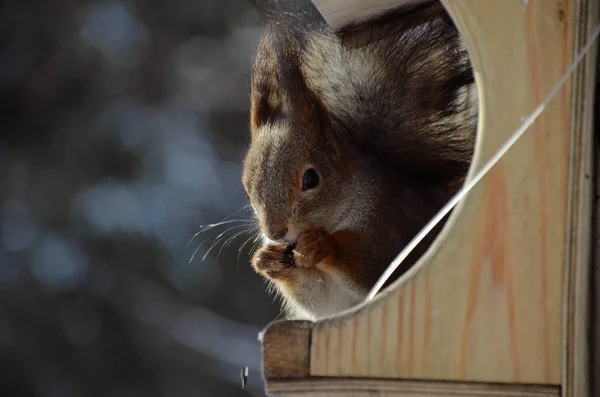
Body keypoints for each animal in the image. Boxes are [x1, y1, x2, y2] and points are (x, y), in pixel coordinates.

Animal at [240, 0, 478, 318]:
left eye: (311, 178)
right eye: (247, 188)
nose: (275, 233)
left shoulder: (385, 226)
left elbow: (373, 269)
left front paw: (323, 246)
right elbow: (319, 300)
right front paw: (266, 259)